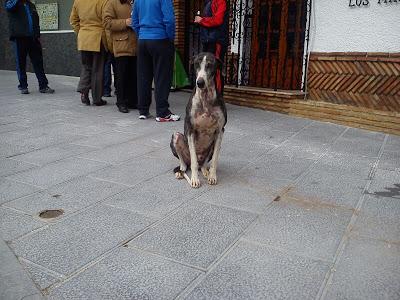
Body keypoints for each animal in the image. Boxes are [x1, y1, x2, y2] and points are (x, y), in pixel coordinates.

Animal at [170, 51, 228, 188]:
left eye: (210, 65)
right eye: (196, 64)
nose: (199, 82)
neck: (205, 98)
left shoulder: (220, 131)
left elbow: (214, 161)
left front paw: (212, 176)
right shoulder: (190, 130)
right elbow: (194, 161)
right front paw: (195, 179)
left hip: (213, 146)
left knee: (203, 164)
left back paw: (206, 171)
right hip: (177, 137)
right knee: (187, 164)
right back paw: (181, 171)